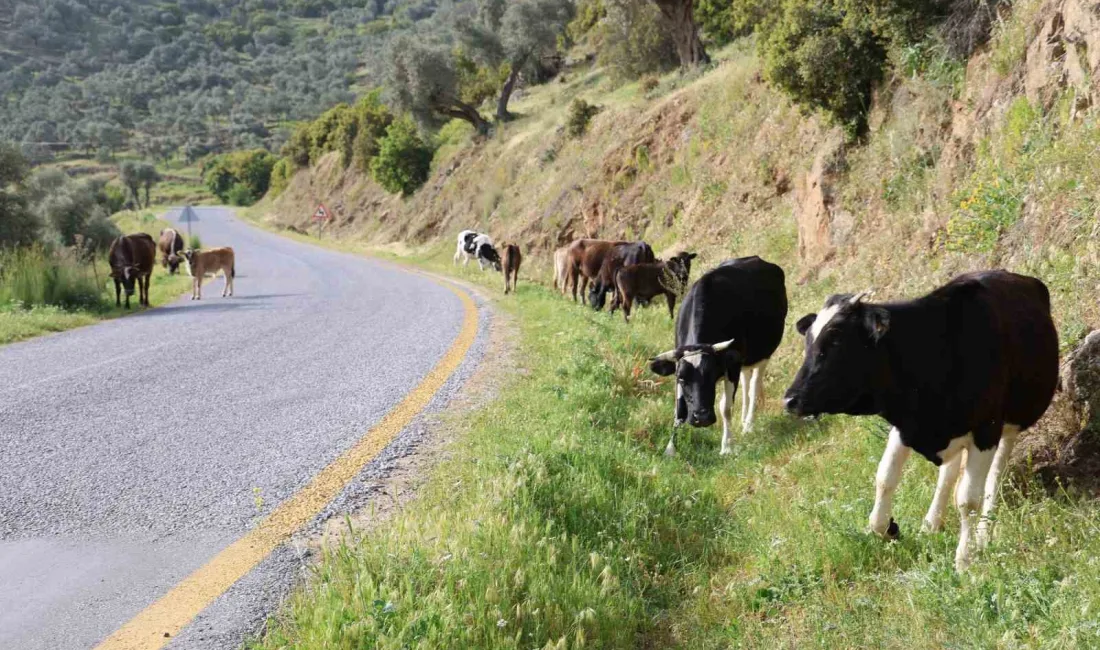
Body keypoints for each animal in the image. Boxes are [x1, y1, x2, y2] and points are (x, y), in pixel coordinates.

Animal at [646, 258, 787, 457]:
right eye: (681, 378)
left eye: (712, 375)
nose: (702, 418)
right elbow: (679, 410)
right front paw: (670, 449)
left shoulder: (732, 365)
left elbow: (725, 408)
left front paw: (727, 446)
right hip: (745, 360)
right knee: (746, 381)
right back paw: (743, 420)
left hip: (763, 354)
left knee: (753, 386)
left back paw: (748, 425)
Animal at [778, 271, 1060, 571]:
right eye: (808, 342)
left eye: (835, 341)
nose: (790, 400)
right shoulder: (906, 426)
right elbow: (885, 478)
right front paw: (887, 528)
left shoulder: (986, 430)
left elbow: (969, 500)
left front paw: (965, 560)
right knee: (948, 475)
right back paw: (930, 524)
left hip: (1010, 426)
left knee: (993, 477)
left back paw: (983, 535)